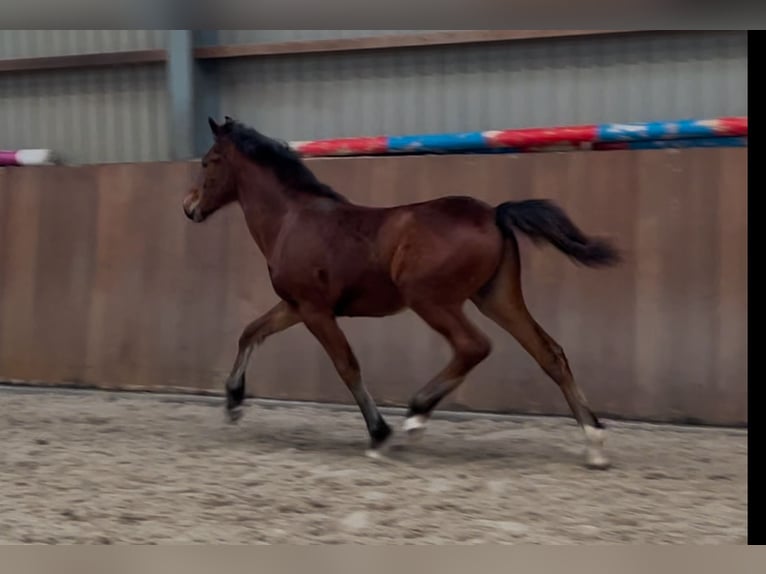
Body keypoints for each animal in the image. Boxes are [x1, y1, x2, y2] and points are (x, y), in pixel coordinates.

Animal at [186, 118, 624, 472]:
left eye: (209, 161)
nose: (189, 207)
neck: (293, 220)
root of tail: (495, 213)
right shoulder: (296, 305)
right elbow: (251, 331)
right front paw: (233, 402)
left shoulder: (315, 310)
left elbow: (347, 366)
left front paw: (380, 434)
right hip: (497, 298)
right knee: (549, 353)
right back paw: (595, 443)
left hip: (430, 300)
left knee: (473, 346)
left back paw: (416, 415)